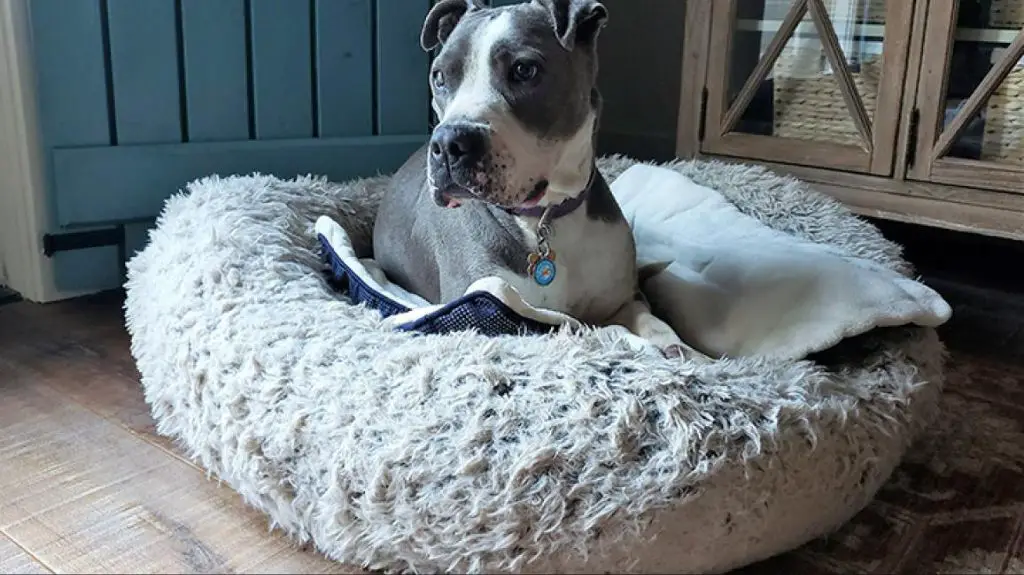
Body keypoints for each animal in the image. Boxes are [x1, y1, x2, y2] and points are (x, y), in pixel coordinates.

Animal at [372, 0, 708, 358]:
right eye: (439, 76)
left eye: (524, 70)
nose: (448, 143)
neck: (547, 217)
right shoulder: (486, 295)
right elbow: (588, 325)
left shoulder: (624, 300)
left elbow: (651, 321)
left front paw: (680, 348)